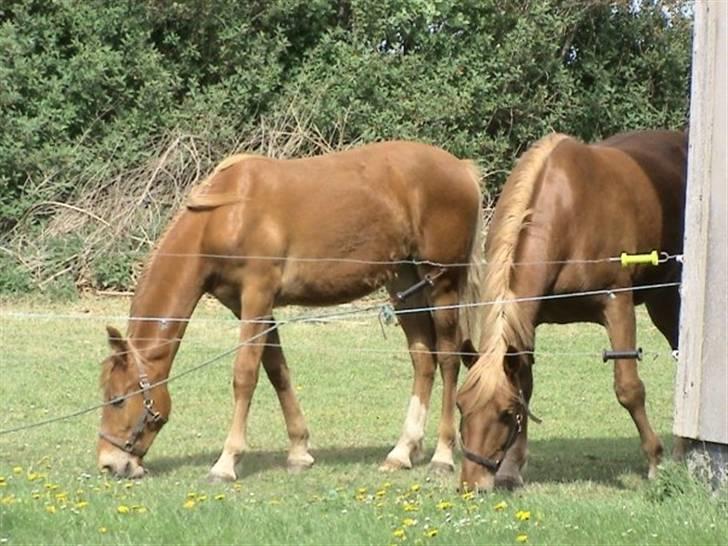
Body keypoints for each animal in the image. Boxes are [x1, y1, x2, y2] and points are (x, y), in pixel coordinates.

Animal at [95, 141, 484, 480]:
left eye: (117, 400)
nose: (110, 464)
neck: (226, 214)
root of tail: (461, 169)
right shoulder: (250, 306)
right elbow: (276, 369)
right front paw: (299, 451)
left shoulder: (256, 297)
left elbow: (245, 374)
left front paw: (226, 462)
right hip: (404, 281)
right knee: (423, 359)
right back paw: (402, 451)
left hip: (442, 283)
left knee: (448, 359)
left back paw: (442, 456)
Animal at [458, 130, 684, 490]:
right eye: (460, 407)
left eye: (505, 413)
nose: (472, 483)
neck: (567, 211)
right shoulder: (527, 321)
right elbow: (526, 384)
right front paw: (512, 469)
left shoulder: (617, 303)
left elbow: (629, 389)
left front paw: (654, 460)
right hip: (660, 300)